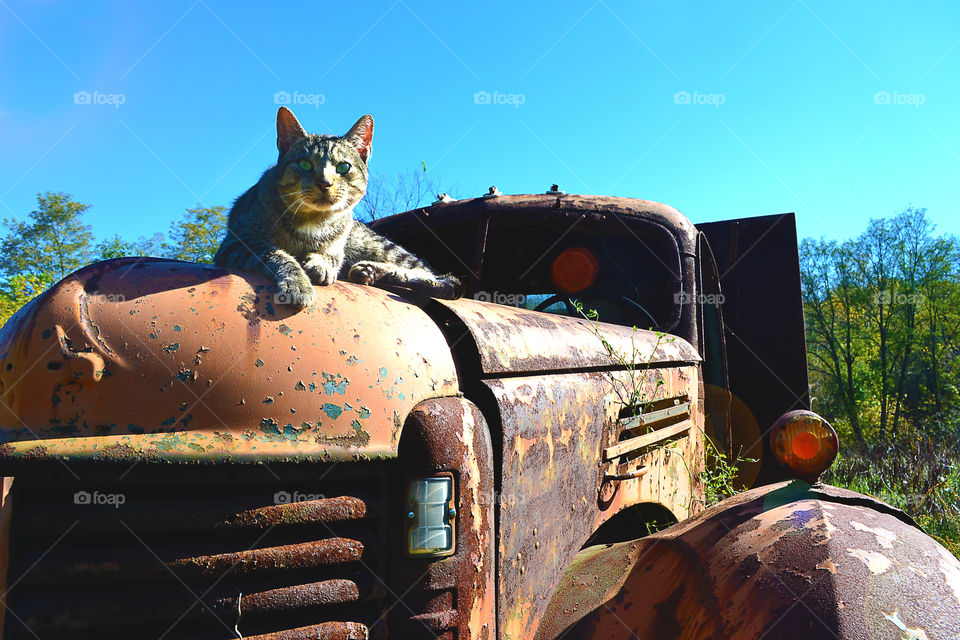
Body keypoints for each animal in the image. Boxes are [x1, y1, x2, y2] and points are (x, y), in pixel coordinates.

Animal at [216, 107, 464, 308]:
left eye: (343, 167)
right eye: (305, 164)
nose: (325, 183)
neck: (314, 220)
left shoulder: (337, 248)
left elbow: (331, 256)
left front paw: (320, 264)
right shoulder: (238, 242)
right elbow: (277, 254)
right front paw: (297, 283)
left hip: (380, 247)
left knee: (443, 278)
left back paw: (377, 271)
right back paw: (370, 272)